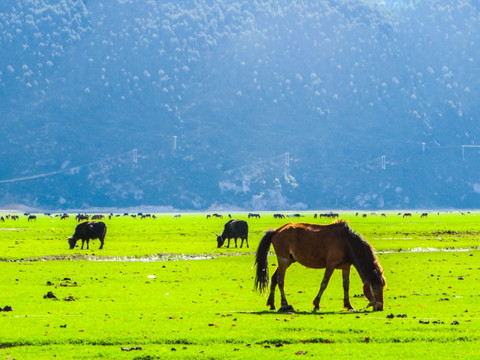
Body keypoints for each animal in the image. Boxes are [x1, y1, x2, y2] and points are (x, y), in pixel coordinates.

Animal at [255, 219, 386, 312]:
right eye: (375, 287)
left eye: (382, 287)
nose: (380, 308)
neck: (347, 243)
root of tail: (276, 230)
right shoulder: (331, 265)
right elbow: (324, 283)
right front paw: (316, 304)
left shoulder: (346, 266)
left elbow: (346, 285)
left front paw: (349, 305)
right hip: (283, 260)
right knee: (280, 280)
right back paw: (284, 304)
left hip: (288, 261)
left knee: (274, 278)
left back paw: (272, 304)